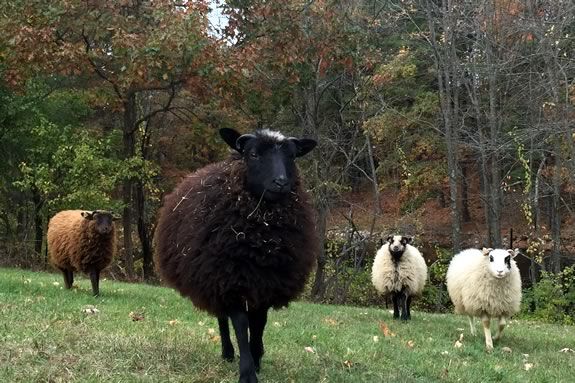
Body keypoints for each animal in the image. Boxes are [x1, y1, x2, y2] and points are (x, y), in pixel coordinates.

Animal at [155, 127, 320, 382]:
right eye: (253, 154)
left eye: (292, 156)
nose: (281, 182)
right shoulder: (229, 281)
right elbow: (241, 326)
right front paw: (247, 371)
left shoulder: (266, 284)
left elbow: (259, 324)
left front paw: (257, 358)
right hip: (212, 280)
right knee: (222, 319)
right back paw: (227, 353)